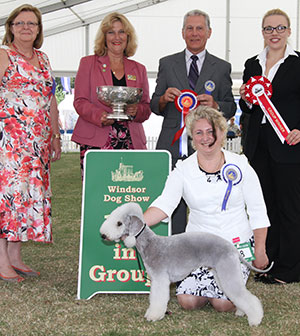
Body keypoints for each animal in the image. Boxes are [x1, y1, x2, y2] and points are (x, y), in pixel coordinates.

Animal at [100, 202, 272, 326]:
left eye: (119, 223)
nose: (103, 235)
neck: (149, 243)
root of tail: (232, 248)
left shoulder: (160, 279)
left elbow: (158, 298)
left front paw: (154, 316)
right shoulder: (156, 280)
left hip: (227, 271)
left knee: (245, 296)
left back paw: (255, 319)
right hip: (221, 273)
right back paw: (242, 312)